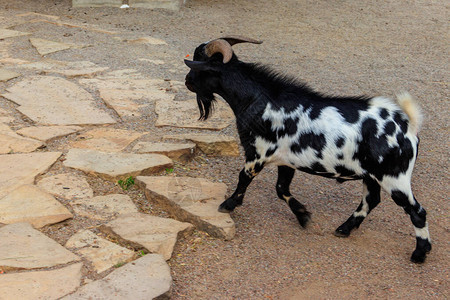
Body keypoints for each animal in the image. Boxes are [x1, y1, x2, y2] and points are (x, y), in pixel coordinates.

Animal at [184, 36, 432, 264]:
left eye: (199, 63)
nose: (187, 81)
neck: (261, 100)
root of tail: (408, 126)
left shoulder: (258, 153)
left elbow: (244, 178)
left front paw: (228, 204)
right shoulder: (286, 160)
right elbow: (281, 188)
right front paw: (303, 216)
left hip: (395, 177)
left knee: (416, 211)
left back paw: (420, 253)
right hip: (372, 176)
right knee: (371, 200)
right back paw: (344, 229)